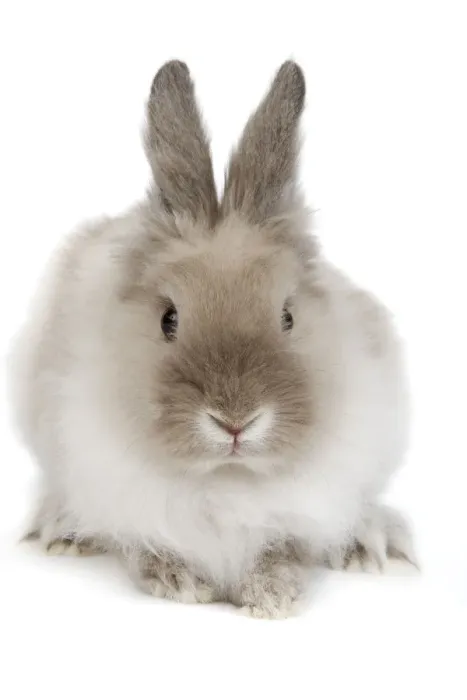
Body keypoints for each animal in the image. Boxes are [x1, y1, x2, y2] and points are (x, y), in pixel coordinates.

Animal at [8, 60, 417, 618]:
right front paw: (180, 582)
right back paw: (64, 531)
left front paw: (272, 595)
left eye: (288, 316)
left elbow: (284, 546)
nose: (235, 421)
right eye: (168, 319)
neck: (225, 478)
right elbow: (147, 544)